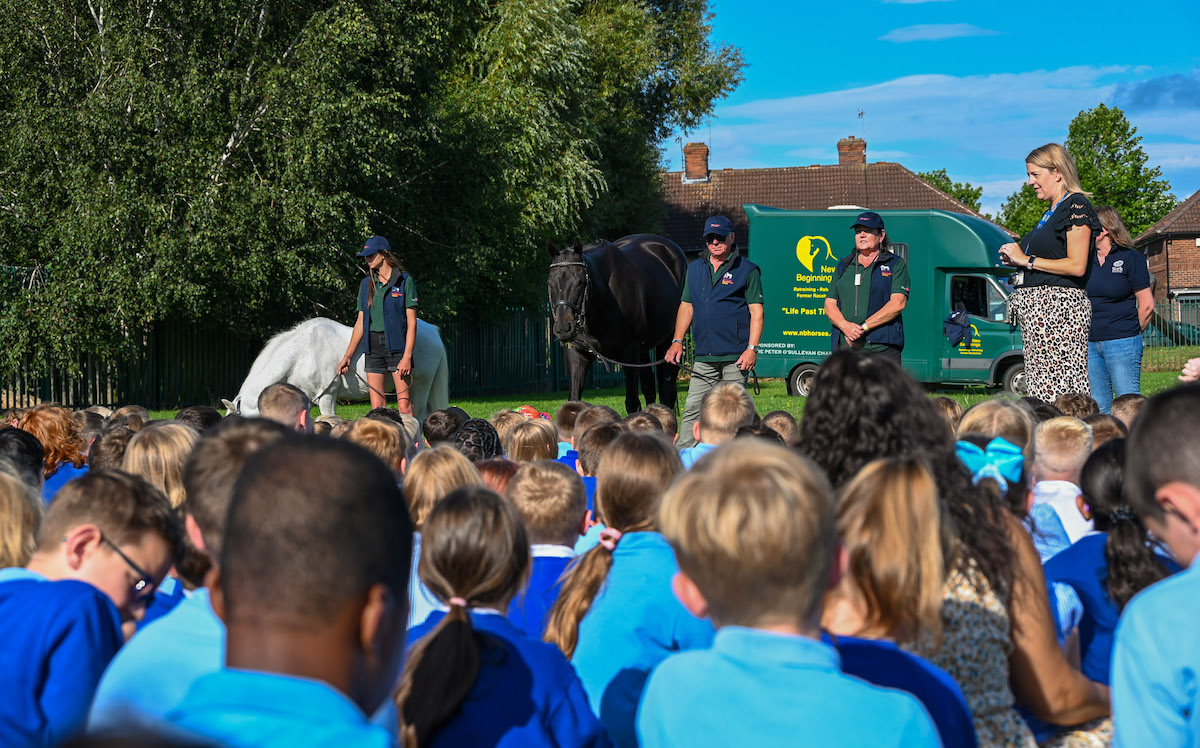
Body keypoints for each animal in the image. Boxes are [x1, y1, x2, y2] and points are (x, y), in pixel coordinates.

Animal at [547, 232, 686, 413]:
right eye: (550, 283)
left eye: (580, 282)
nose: (564, 328)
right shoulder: (577, 353)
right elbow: (573, 400)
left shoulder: (629, 354)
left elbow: (632, 402)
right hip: (643, 350)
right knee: (649, 386)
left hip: (668, 341)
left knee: (666, 389)